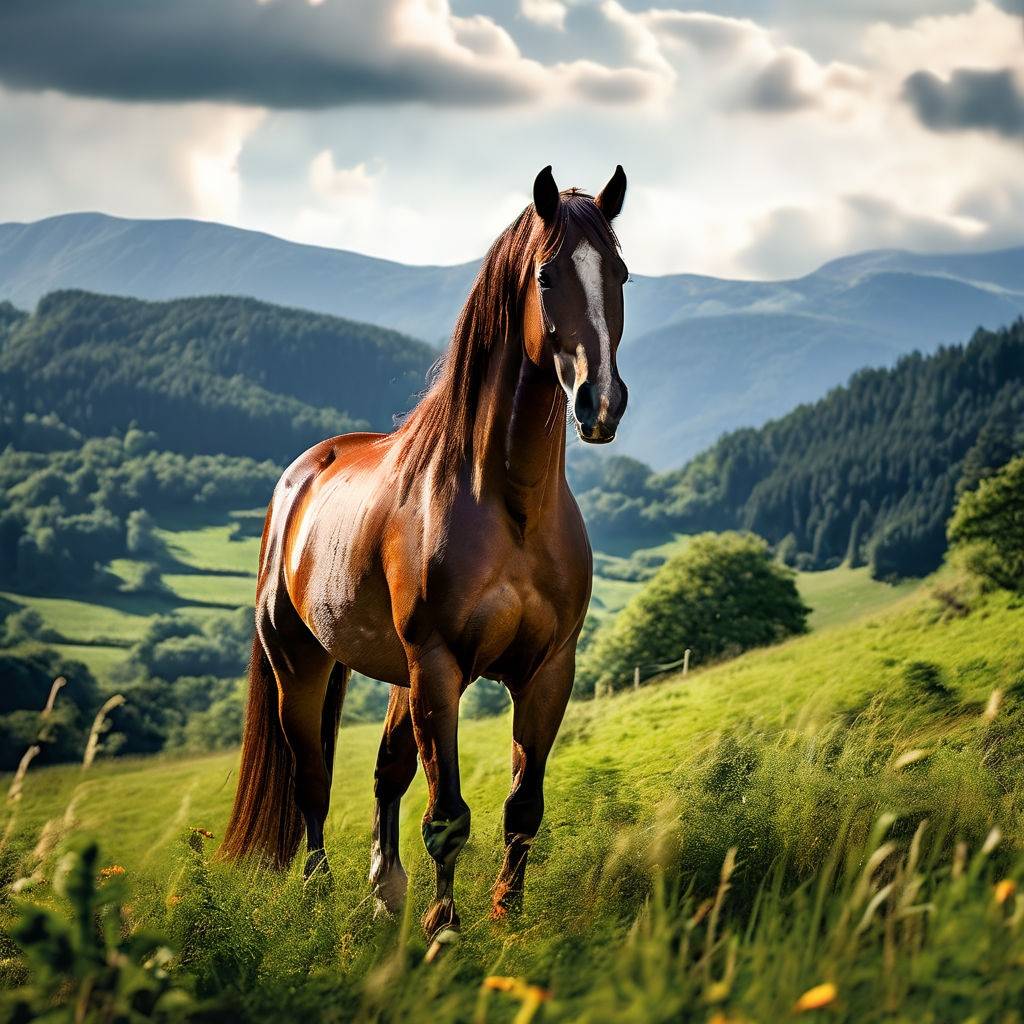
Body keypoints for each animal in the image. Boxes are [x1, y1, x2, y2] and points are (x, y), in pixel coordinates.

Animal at [220, 161, 626, 937]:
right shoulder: (439, 666)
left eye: (619, 273)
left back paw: (386, 891)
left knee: (385, 771)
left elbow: (521, 807)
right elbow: (447, 816)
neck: (509, 503)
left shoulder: (547, 671)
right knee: (312, 778)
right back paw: (319, 892)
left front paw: (506, 916)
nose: (601, 402)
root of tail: (299, 479)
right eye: (546, 274)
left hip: (399, 678)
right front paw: (444, 928)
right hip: (303, 663)